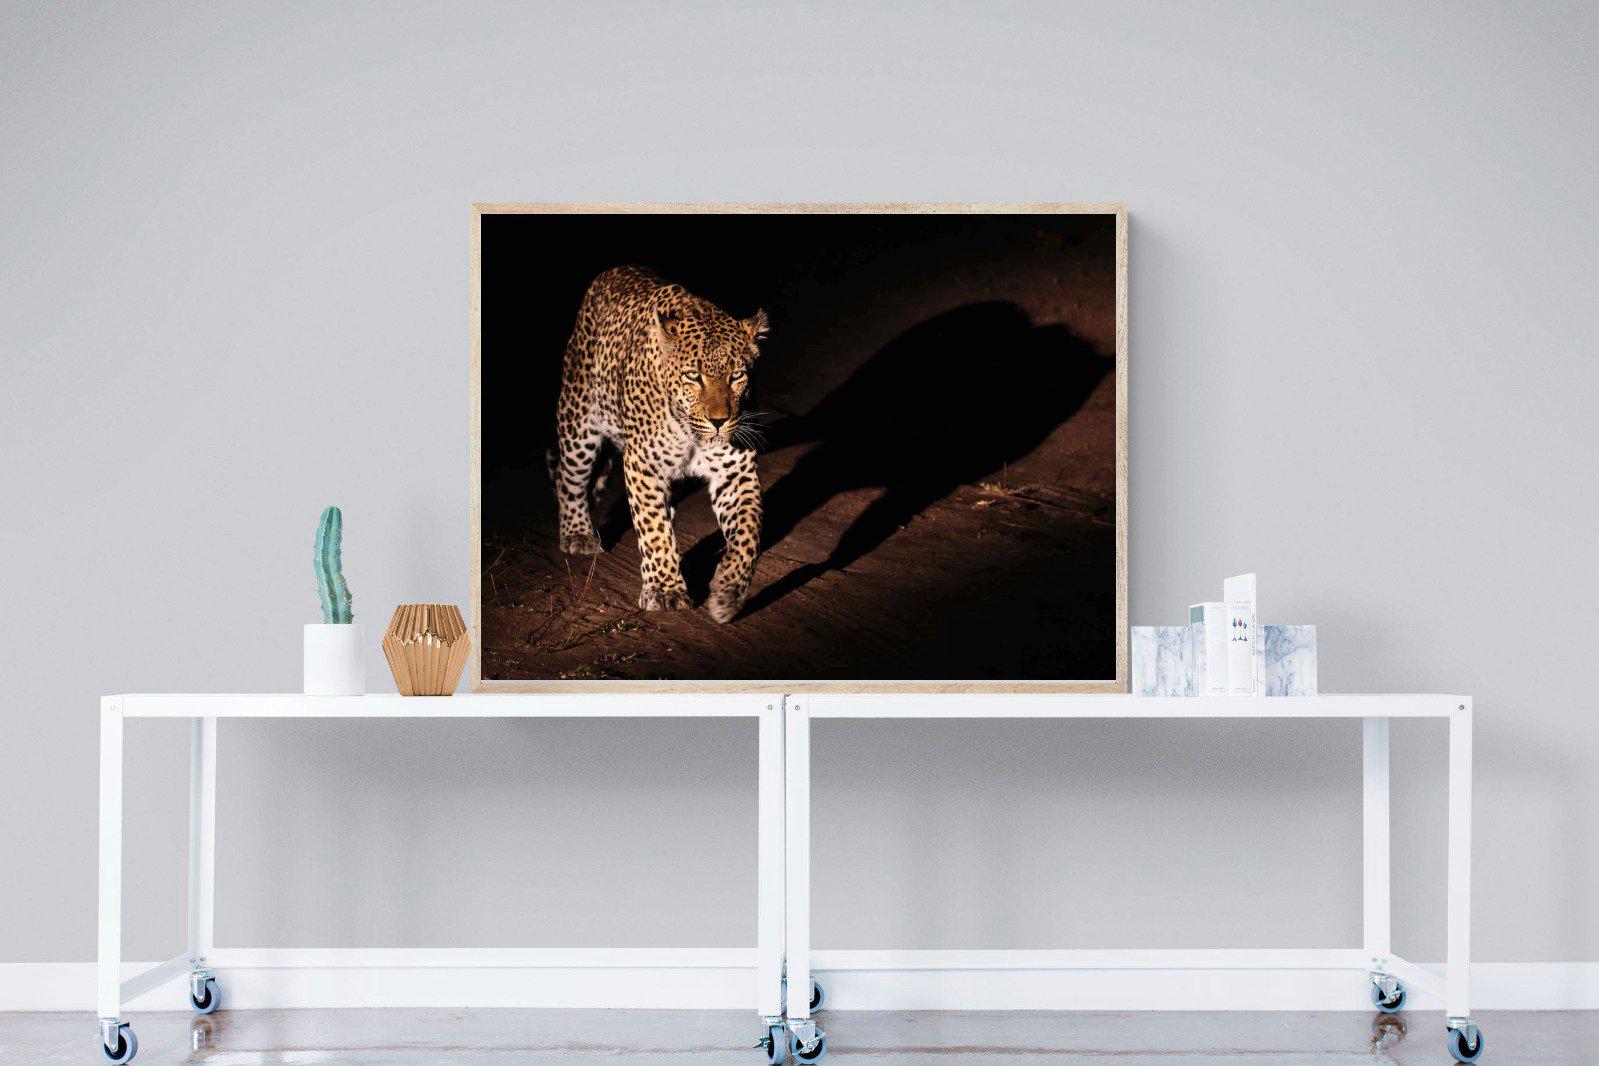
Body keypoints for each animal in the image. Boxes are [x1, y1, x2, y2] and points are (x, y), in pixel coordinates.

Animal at [549, 265, 767, 624]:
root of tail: (613, 270)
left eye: (737, 376)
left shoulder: (735, 471)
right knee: (569, 479)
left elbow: (748, 532)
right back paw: (577, 533)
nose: (719, 422)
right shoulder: (643, 465)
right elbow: (652, 528)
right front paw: (665, 590)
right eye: (693, 376)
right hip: (578, 422)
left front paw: (728, 592)